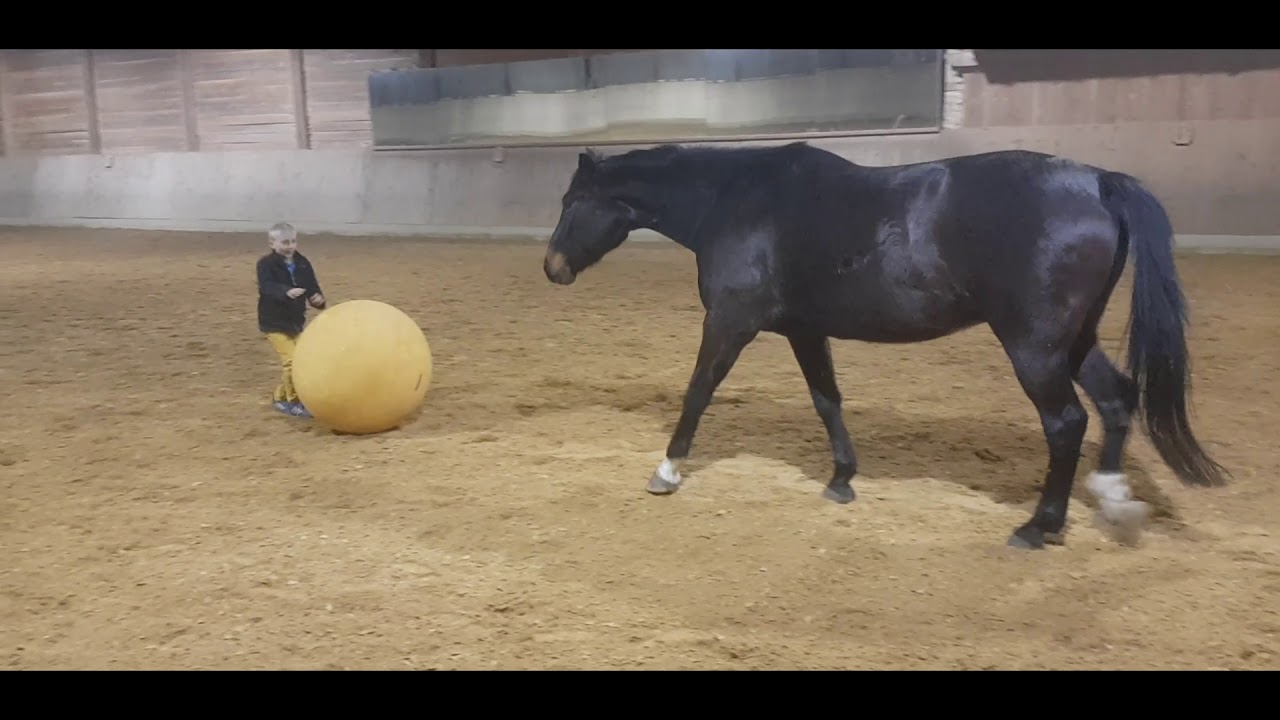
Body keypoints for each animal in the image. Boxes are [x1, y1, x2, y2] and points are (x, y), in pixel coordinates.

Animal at [540, 141, 1229, 550]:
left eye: (572, 201)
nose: (552, 267)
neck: (736, 201)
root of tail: (1097, 181)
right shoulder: (804, 328)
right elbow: (827, 400)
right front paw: (842, 479)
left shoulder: (731, 322)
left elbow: (698, 391)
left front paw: (666, 470)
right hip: (1071, 342)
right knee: (1115, 400)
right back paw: (1111, 498)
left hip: (1033, 347)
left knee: (1066, 423)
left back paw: (1039, 527)